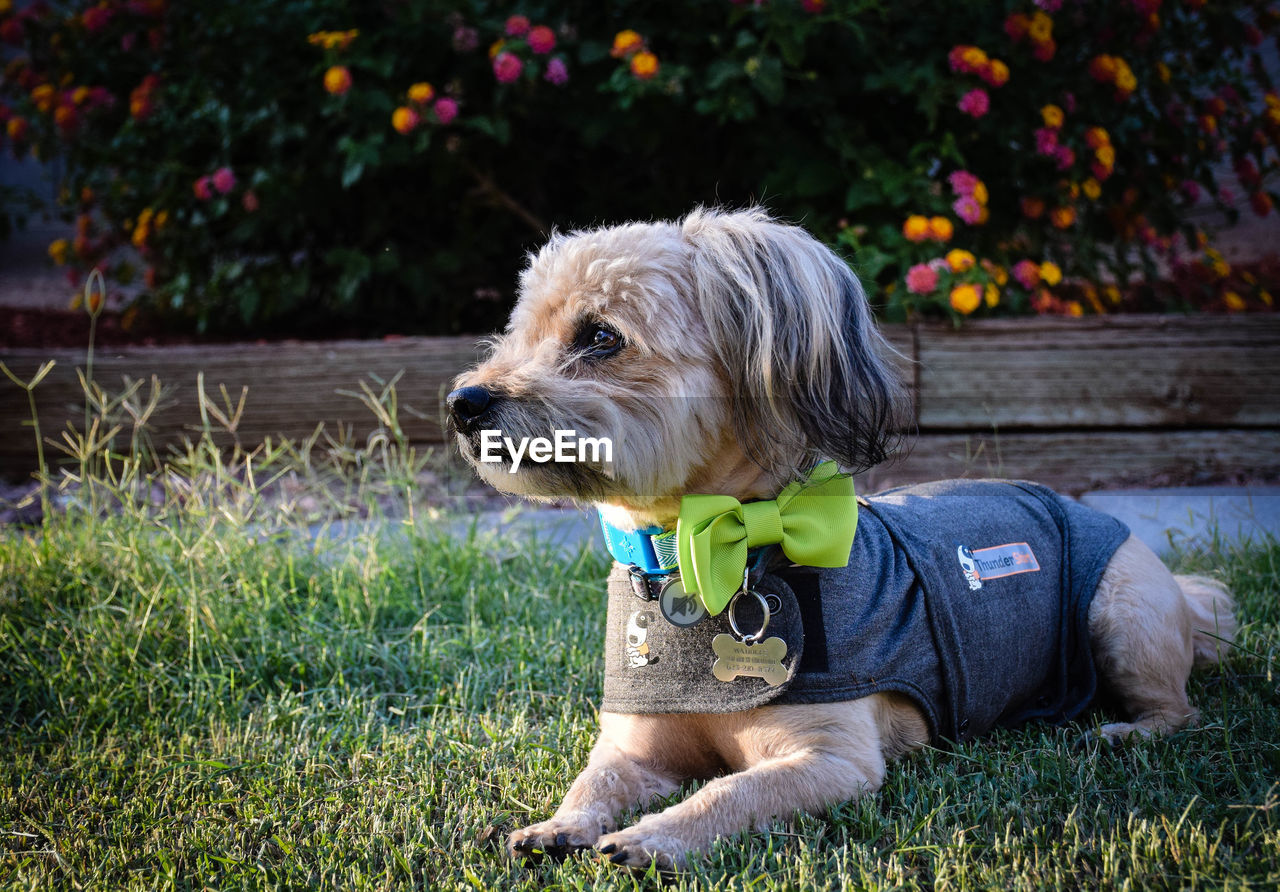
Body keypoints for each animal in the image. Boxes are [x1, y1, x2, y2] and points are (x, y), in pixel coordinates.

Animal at [445, 204, 1233, 865]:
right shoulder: (633, 747)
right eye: (520, 331)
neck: (698, 553)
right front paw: (559, 825)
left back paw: (1127, 731)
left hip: (1122, 614)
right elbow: (594, 783)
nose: (463, 401)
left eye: (600, 337)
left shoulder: (831, 760)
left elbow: (731, 791)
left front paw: (655, 838)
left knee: (1181, 710)